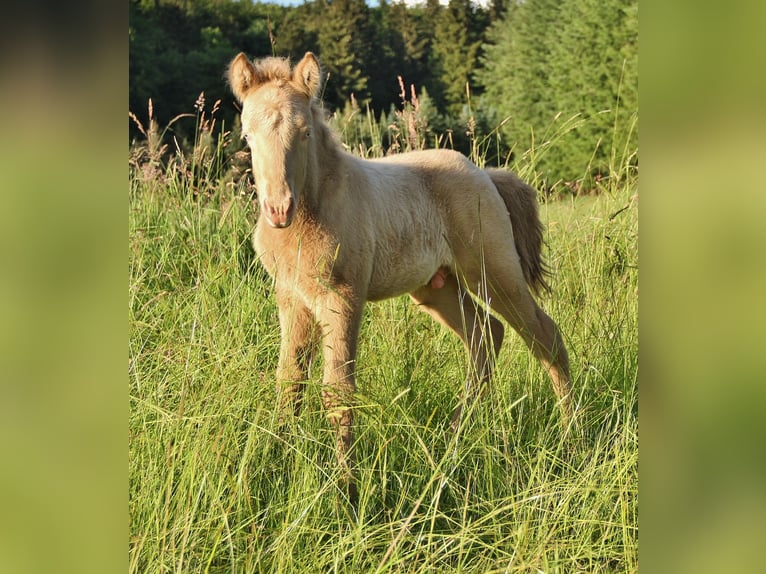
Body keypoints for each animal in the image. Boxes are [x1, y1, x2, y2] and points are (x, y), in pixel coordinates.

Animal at [227, 52, 572, 504]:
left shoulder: (342, 297)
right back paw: (455, 439)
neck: (310, 212)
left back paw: (571, 436)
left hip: (493, 270)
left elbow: (338, 390)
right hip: (437, 287)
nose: (278, 209)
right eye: (247, 136)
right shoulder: (292, 298)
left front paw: (347, 490)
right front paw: (272, 466)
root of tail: (485, 174)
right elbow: (289, 382)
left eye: (304, 133)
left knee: (544, 335)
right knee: (485, 334)